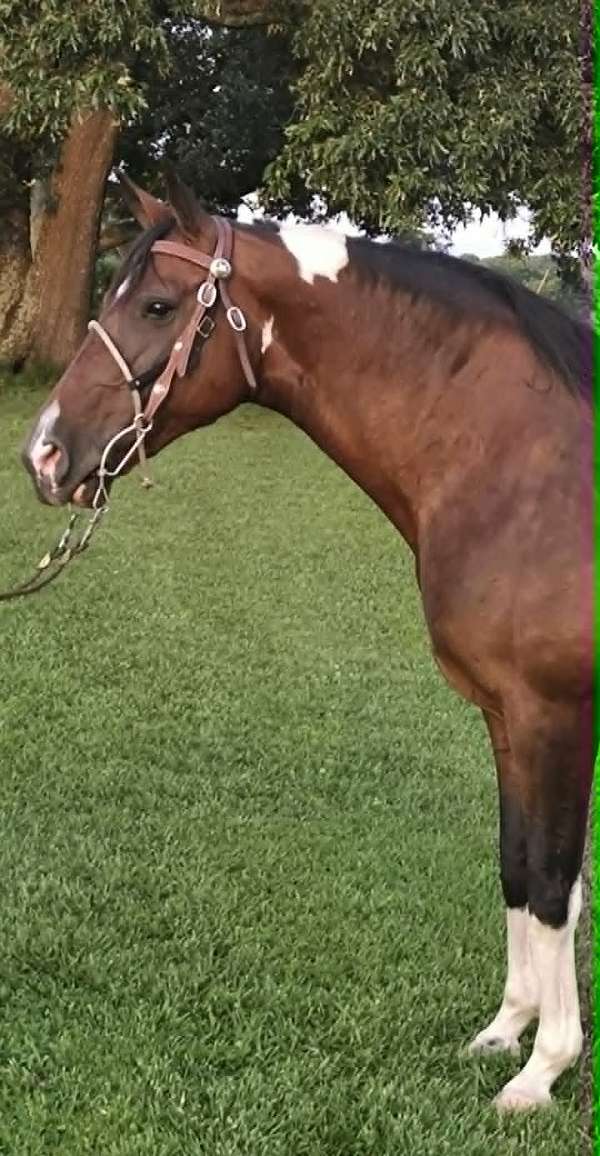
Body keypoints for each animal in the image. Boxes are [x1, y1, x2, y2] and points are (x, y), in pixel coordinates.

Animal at [22, 170, 594, 1112]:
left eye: (156, 304)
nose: (44, 454)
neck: (528, 470)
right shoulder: (504, 716)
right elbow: (519, 867)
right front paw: (505, 1031)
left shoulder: (556, 717)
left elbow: (553, 884)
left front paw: (543, 1069)